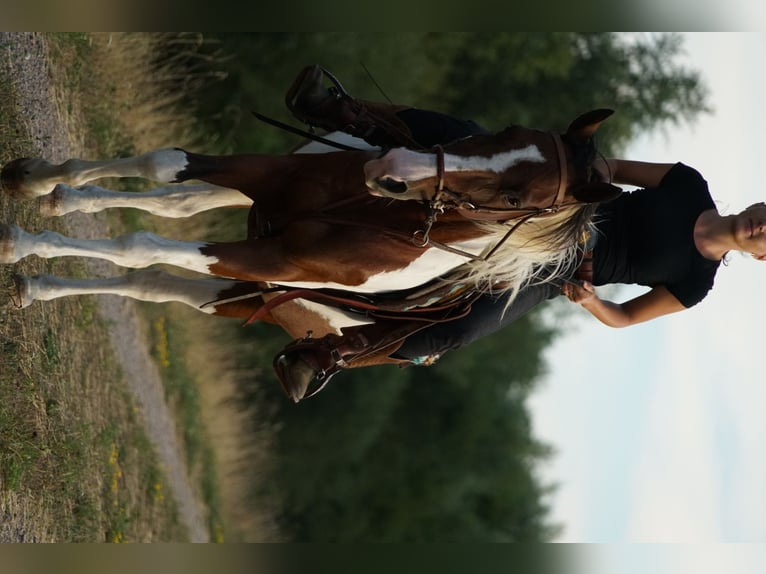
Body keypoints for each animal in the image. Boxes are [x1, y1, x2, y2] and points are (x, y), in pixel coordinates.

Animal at [1, 109, 620, 399]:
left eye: (518, 198)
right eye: (508, 129)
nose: (392, 169)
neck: (382, 216)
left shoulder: (270, 263)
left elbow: (139, 246)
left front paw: (25, 243)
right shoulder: (265, 174)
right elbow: (163, 163)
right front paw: (38, 182)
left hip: (253, 289)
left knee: (156, 274)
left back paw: (41, 282)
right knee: (175, 205)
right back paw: (55, 202)